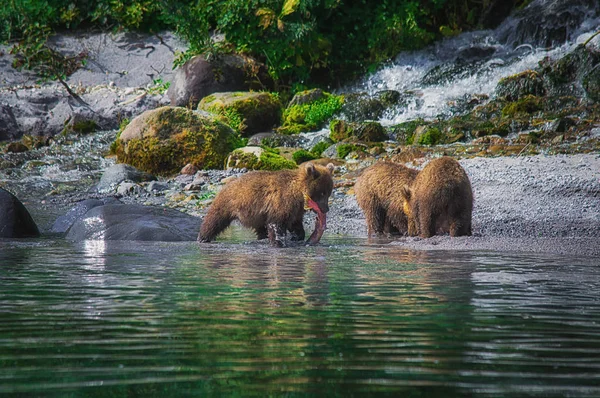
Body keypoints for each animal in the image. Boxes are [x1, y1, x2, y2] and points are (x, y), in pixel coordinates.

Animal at [199, 162, 336, 246]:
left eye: (329, 192)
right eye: (322, 193)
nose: (326, 209)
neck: (299, 195)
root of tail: (226, 185)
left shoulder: (296, 209)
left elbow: (295, 223)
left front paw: (297, 236)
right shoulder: (283, 201)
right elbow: (277, 222)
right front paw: (279, 242)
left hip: (256, 215)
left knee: (260, 228)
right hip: (228, 203)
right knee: (215, 220)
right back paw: (203, 237)